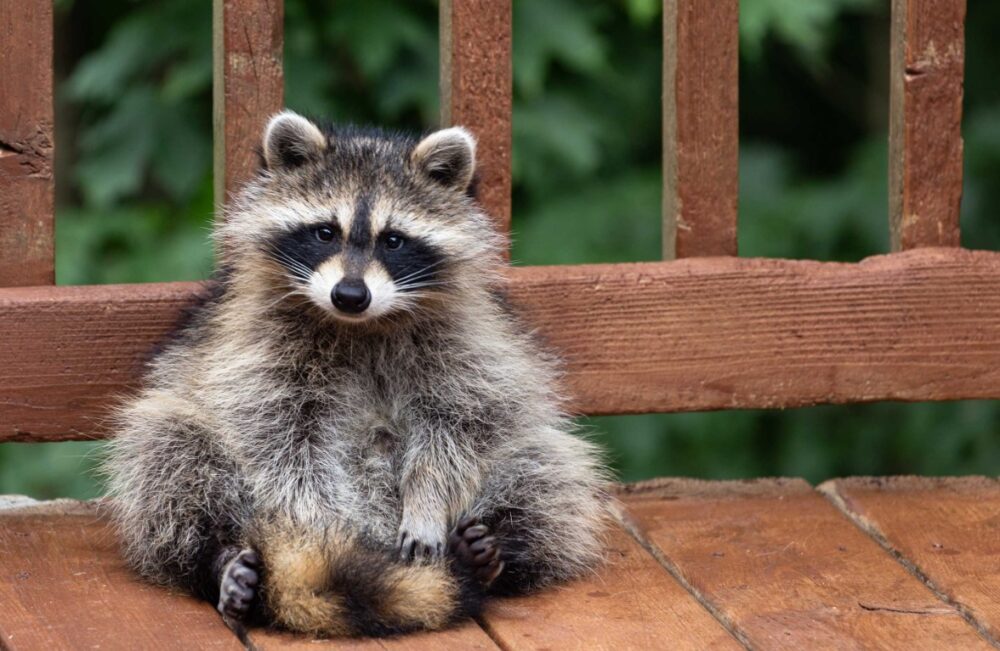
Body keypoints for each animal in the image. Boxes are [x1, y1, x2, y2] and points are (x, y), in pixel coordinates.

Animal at [106, 111, 610, 638]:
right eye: (326, 232)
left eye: (393, 240)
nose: (350, 295)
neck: (361, 325)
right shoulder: (255, 348)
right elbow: (282, 444)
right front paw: (316, 531)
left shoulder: (469, 341)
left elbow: (464, 423)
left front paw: (427, 498)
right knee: (169, 453)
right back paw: (221, 561)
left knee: (545, 471)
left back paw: (495, 552)